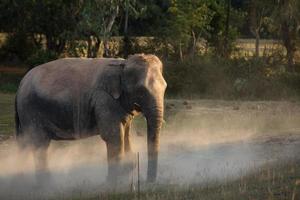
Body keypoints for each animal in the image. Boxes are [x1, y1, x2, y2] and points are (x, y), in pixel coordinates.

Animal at [14, 53, 166, 183]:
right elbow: (114, 136)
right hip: (31, 110)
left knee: (25, 143)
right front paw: (113, 183)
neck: (122, 64)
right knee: (40, 144)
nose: (147, 182)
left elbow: (125, 132)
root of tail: (20, 85)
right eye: (141, 91)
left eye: (165, 87)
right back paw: (45, 185)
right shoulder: (104, 99)